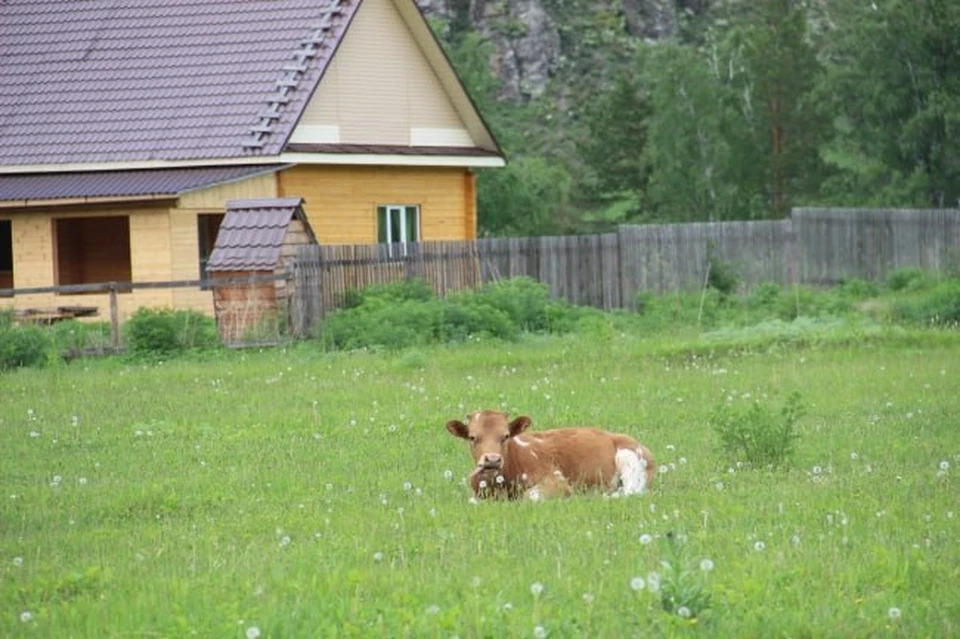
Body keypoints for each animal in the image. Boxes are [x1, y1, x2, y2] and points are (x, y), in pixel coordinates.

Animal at [446, 410, 656, 500]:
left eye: (505, 436)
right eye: (472, 437)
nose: (492, 460)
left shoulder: (557, 481)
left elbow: (531, 496)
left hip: (631, 461)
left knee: (630, 491)